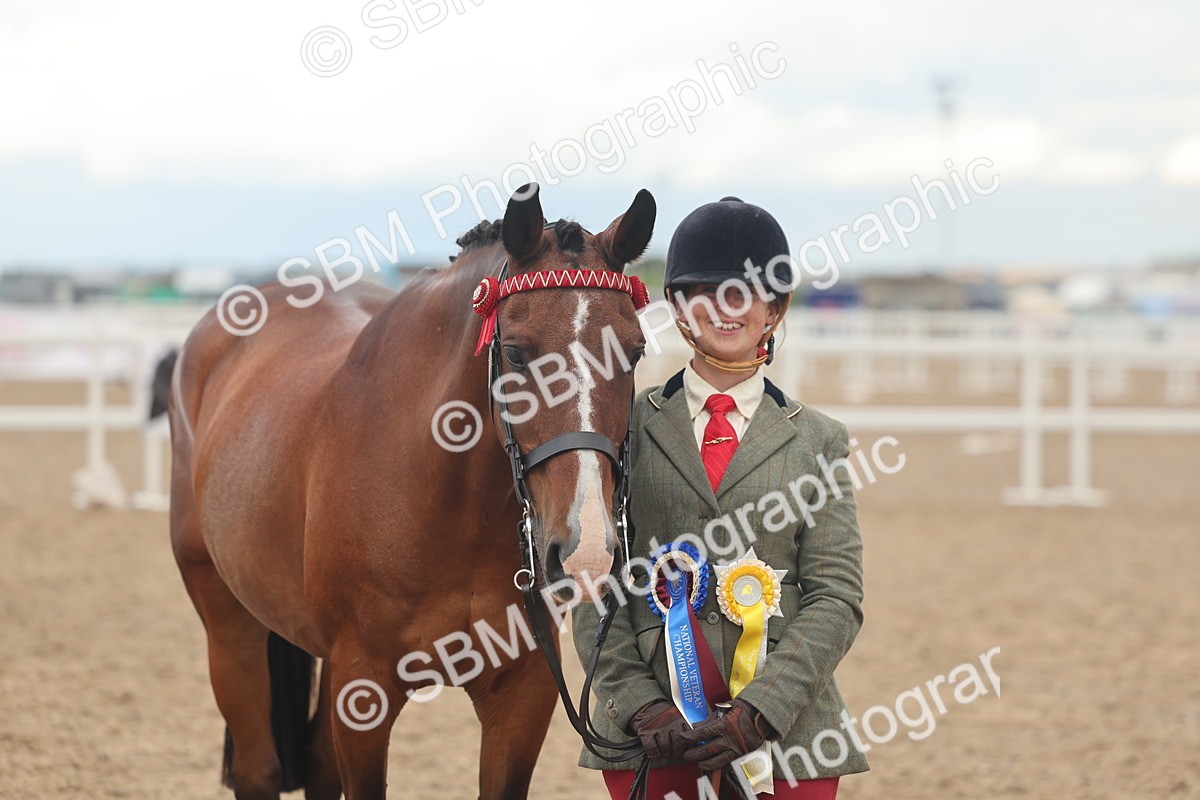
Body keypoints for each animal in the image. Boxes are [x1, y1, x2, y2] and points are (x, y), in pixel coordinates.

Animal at [168, 183, 656, 800]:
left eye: (634, 352)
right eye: (516, 353)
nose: (587, 551)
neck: (448, 503)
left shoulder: (523, 694)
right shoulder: (363, 692)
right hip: (229, 624)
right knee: (258, 768)